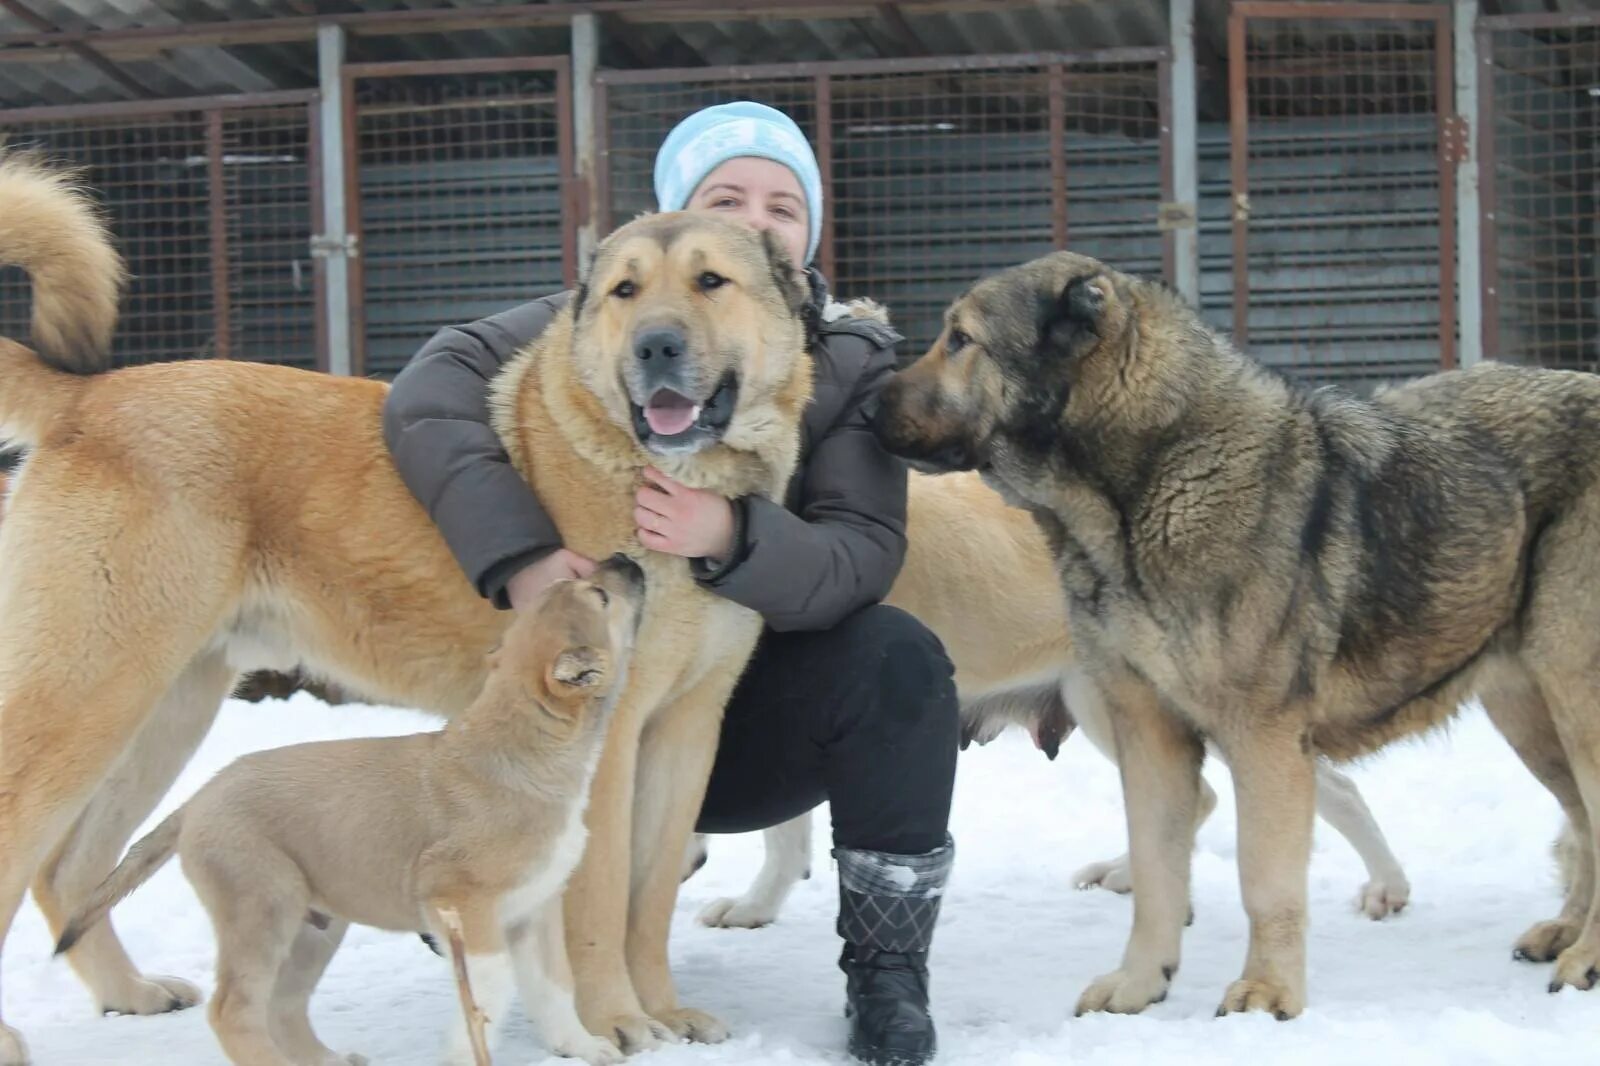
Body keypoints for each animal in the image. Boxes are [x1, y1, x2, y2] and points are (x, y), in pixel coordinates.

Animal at [53, 557, 646, 1062]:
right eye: (599, 596)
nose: (626, 559)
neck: (525, 742)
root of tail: (200, 796)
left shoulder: (534, 910)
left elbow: (553, 986)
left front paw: (581, 1046)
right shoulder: (460, 903)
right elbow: (491, 985)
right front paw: (465, 1048)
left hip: (315, 927)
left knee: (283, 1007)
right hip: (262, 908)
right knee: (235, 1012)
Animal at [870, 244, 1600, 1017]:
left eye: (961, 339)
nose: (862, 401)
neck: (1150, 480)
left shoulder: (1262, 737)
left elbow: (1264, 879)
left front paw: (1267, 991)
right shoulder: (1149, 728)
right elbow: (1157, 873)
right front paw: (1140, 983)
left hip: (1573, 698)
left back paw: (1583, 955)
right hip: (1529, 713)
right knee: (1583, 823)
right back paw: (1565, 931)